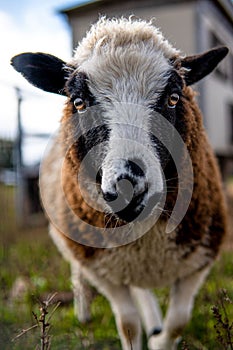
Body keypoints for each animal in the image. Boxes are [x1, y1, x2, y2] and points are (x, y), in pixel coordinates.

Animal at [10, 17, 228, 350]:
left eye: (173, 98)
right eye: (79, 102)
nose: (128, 188)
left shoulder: (198, 261)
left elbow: (178, 322)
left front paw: (159, 339)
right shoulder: (102, 269)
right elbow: (127, 324)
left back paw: (153, 321)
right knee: (80, 276)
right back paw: (84, 312)